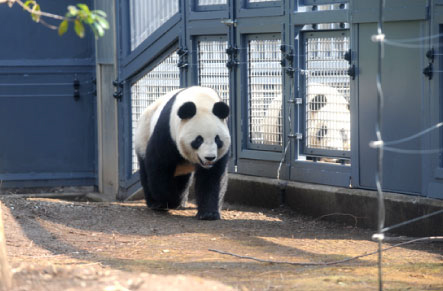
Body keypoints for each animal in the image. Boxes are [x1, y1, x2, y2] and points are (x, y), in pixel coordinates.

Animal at [134, 86, 232, 221]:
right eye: (198, 140)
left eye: (217, 139)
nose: (210, 157)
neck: (200, 99)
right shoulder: (167, 132)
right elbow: (159, 166)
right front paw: (168, 200)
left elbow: (212, 177)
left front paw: (208, 214)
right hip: (144, 133)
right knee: (145, 169)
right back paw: (156, 203)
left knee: (182, 179)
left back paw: (180, 201)